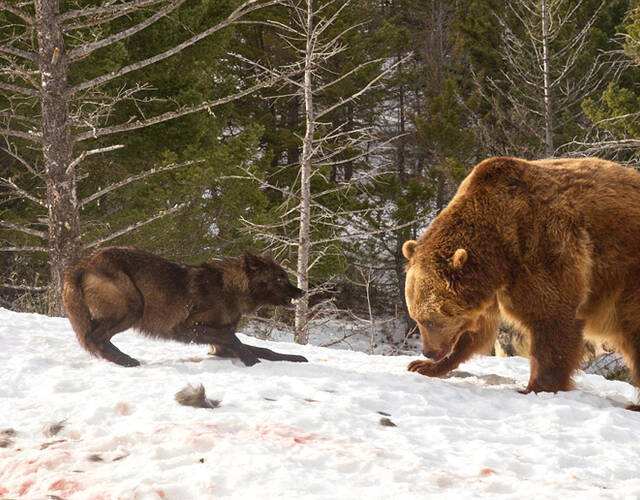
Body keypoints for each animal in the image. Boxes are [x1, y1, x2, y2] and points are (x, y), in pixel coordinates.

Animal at [62, 247, 308, 368]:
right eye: (280, 278)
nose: (302, 292)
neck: (229, 289)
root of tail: (81, 264)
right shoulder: (187, 327)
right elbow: (235, 339)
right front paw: (250, 361)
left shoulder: (219, 345)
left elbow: (263, 349)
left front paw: (295, 358)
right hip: (134, 307)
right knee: (94, 338)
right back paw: (126, 361)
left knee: (96, 339)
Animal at [402, 157, 640, 410]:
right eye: (416, 318)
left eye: (431, 319)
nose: (428, 352)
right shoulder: (490, 290)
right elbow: (477, 331)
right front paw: (425, 366)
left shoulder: (543, 249)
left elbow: (552, 320)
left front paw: (536, 387)